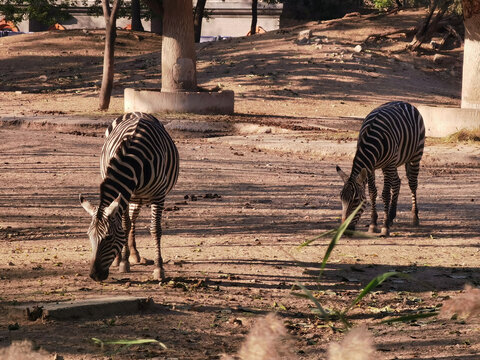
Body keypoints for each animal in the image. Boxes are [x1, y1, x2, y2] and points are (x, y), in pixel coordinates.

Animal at [79, 112, 179, 282]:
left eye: (108, 237)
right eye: (89, 236)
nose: (94, 275)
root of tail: (136, 112)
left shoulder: (158, 195)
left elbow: (155, 229)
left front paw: (159, 268)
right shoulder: (126, 195)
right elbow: (125, 226)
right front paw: (123, 262)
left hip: (138, 197)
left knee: (133, 219)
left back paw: (135, 254)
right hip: (132, 197)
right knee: (129, 220)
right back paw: (121, 258)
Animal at [336, 101, 426, 236]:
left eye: (356, 200)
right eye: (341, 198)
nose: (345, 231)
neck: (371, 139)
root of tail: (404, 102)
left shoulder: (388, 165)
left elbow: (385, 195)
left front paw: (384, 227)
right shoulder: (371, 168)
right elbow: (372, 193)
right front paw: (373, 224)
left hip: (415, 156)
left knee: (412, 184)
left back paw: (415, 217)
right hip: (391, 164)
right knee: (397, 182)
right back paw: (391, 216)